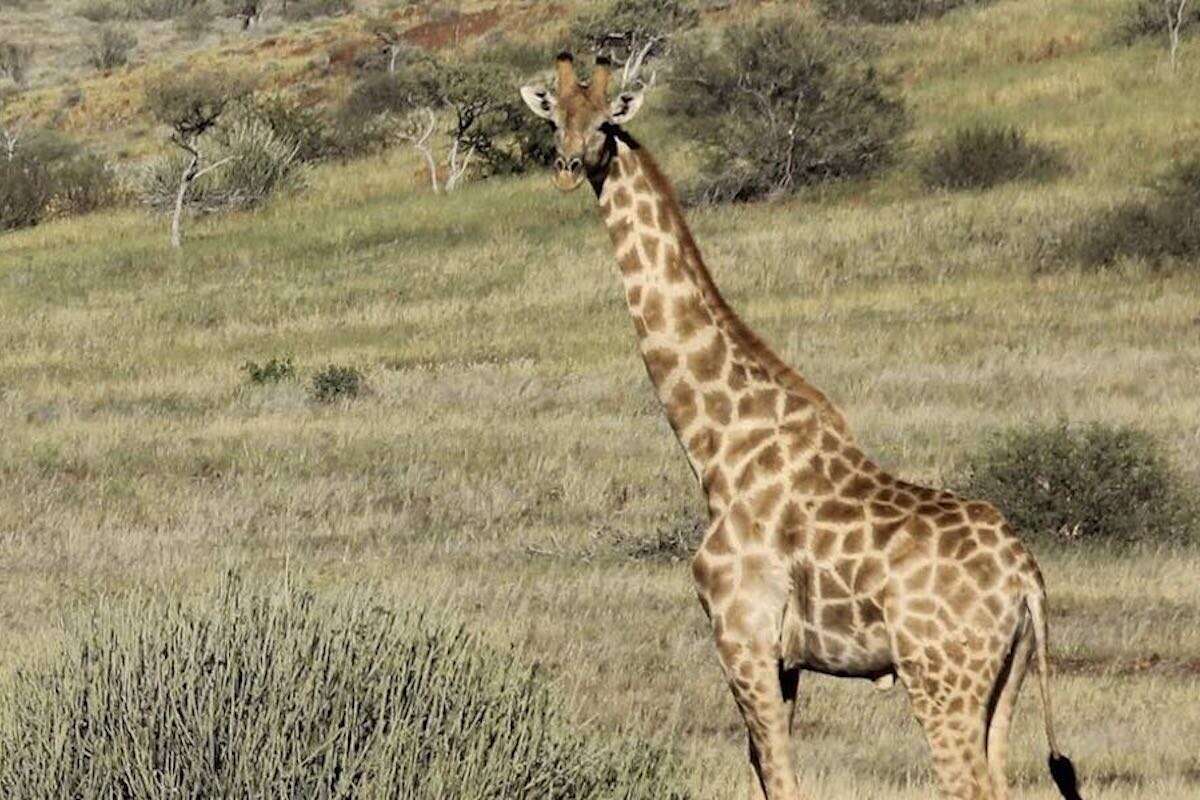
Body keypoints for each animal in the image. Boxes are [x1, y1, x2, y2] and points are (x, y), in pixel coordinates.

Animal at [519, 54, 1084, 800]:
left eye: (608, 120)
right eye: (553, 114)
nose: (567, 163)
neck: (717, 447)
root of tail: (1027, 582)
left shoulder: (741, 634)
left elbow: (782, 776)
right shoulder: (782, 657)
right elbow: (765, 770)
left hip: (942, 680)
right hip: (1004, 681)